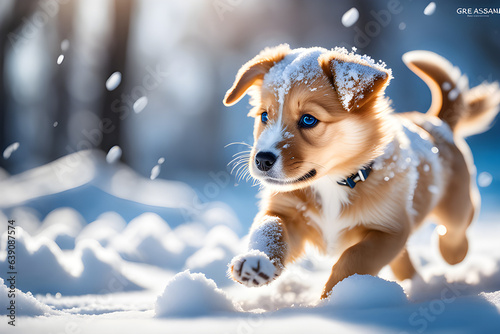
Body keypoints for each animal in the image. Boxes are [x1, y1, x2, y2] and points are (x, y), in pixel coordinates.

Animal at [224, 44, 500, 298]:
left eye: (308, 119)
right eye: (264, 116)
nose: (262, 160)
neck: (333, 182)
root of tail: (437, 122)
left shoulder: (388, 229)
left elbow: (354, 258)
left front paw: (334, 297)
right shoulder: (286, 212)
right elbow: (270, 229)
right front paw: (257, 262)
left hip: (456, 204)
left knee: (458, 225)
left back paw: (452, 252)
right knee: (404, 261)